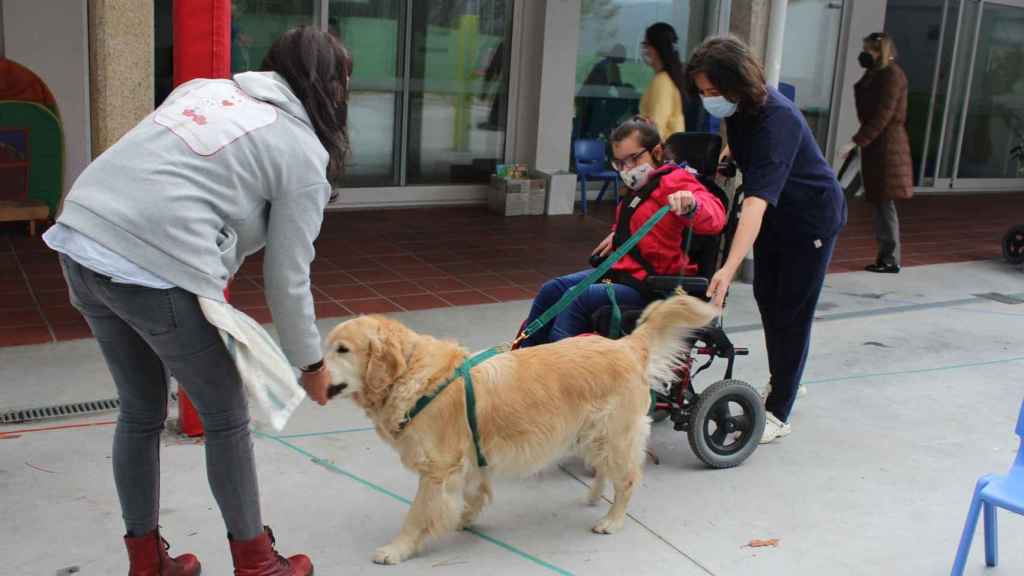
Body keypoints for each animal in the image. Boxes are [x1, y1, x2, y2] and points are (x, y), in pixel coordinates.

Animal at [323, 293, 716, 561]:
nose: (310, 371)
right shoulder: (468, 458)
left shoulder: (438, 470)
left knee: (629, 478)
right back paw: (593, 496)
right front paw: (465, 517)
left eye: (342, 350)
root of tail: (625, 345)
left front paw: (397, 549)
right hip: (593, 435)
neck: (413, 376)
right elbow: (475, 493)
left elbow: (418, 514)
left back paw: (612, 520)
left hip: (615, 435)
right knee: (606, 470)